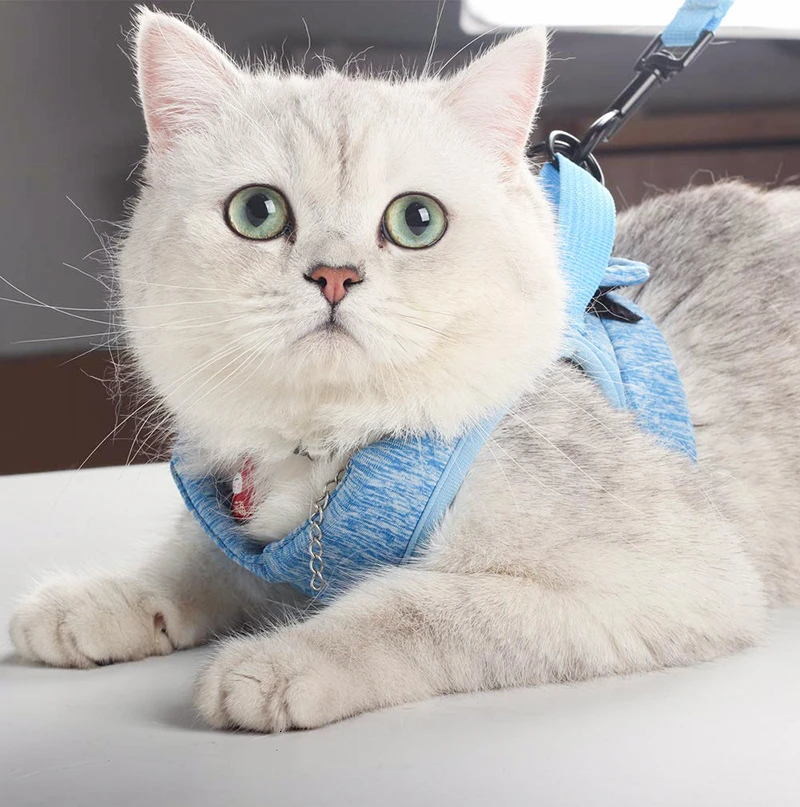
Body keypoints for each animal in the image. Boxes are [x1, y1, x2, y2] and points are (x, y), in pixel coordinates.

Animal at [9, 9, 799, 733]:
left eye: (417, 220)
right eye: (257, 212)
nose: (334, 275)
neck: (334, 446)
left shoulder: (677, 579)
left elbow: (421, 602)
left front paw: (282, 660)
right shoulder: (249, 535)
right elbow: (194, 560)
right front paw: (99, 600)